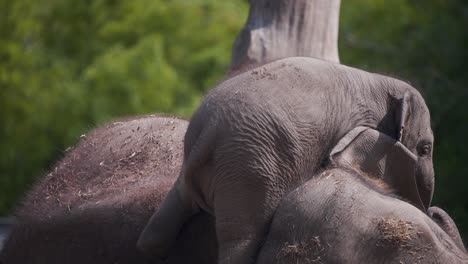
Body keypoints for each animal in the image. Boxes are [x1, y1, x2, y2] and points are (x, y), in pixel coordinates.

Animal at [136, 56, 436, 262]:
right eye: (425, 149)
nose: (432, 211)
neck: (383, 83)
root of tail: (209, 131)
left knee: (154, 235)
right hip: (250, 173)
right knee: (242, 242)